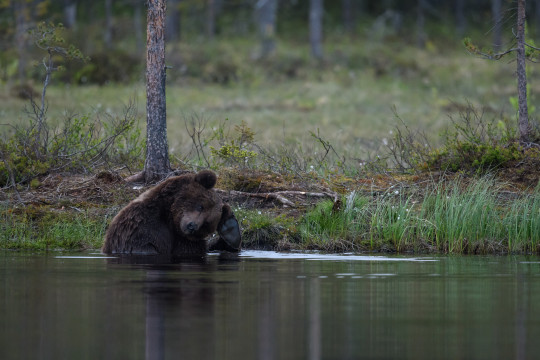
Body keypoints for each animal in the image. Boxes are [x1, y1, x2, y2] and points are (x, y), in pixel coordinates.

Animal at [102, 169, 242, 256]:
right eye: (200, 206)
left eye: (206, 223)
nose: (192, 226)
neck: (169, 218)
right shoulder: (139, 228)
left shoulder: (184, 241)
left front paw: (230, 232)